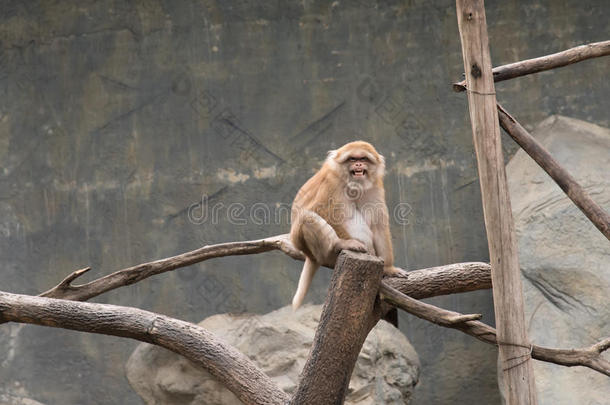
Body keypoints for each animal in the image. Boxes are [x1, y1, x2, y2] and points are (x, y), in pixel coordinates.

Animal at [288, 140, 402, 310]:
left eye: (363, 158)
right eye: (352, 159)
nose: (358, 164)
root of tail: (310, 255)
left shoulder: (375, 186)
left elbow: (378, 225)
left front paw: (388, 268)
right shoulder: (331, 182)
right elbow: (321, 210)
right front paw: (348, 242)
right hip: (314, 249)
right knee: (307, 218)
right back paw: (340, 245)